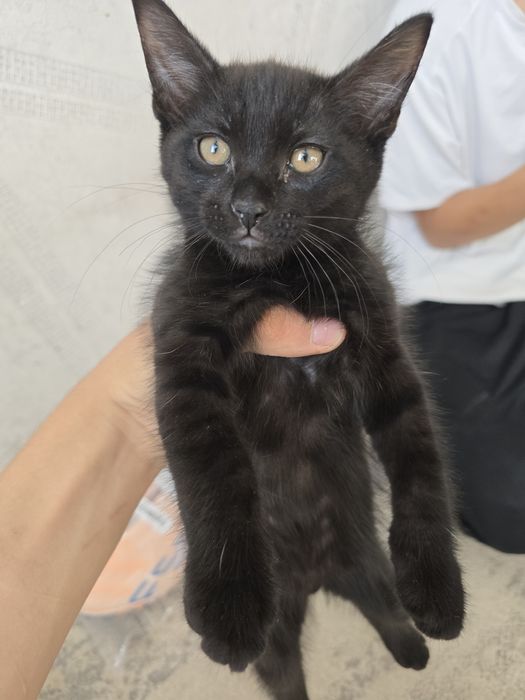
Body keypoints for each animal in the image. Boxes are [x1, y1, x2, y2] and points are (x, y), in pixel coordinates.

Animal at [131, 1, 465, 698]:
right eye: (213, 148)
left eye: (306, 158)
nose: (247, 208)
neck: (279, 279)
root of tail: (314, 578)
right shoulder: (181, 343)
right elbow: (213, 468)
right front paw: (229, 605)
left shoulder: (382, 340)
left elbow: (421, 459)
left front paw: (436, 584)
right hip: (278, 637)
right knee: (282, 669)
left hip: (365, 559)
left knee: (381, 601)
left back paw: (411, 647)